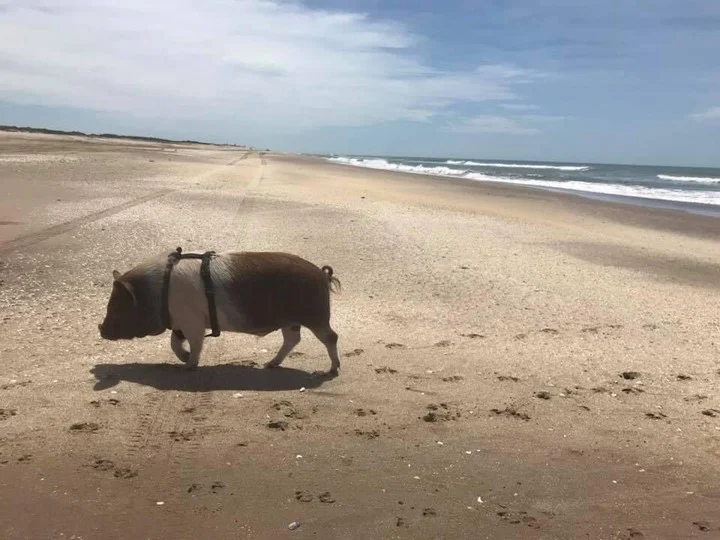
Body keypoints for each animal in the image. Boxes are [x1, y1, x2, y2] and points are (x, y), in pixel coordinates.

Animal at [98, 250, 344, 374]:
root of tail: (322, 275)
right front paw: (184, 358)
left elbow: (195, 343)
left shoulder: (193, 323)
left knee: (331, 337)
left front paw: (188, 366)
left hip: (316, 315)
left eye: (117, 306)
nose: (100, 329)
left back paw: (328, 371)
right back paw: (269, 365)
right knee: (293, 339)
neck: (159, 291)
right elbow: (174, 342)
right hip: (290, 320)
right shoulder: (181, 322)